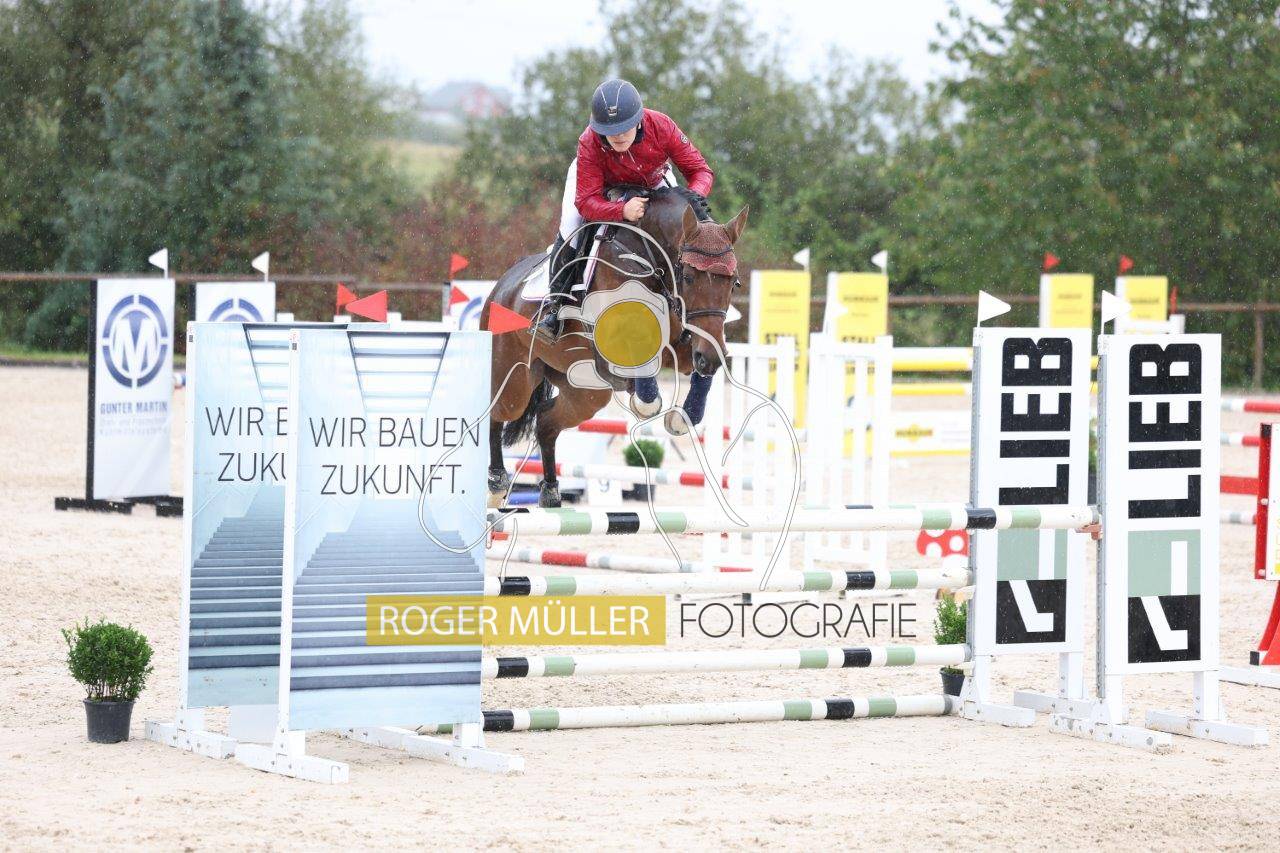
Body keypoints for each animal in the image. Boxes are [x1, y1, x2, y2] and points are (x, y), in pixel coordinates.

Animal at [480, 186, 748, 507]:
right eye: (688, 276)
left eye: (733, 282)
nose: (708, 359)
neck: (649, 261)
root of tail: (500, 287)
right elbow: (645, 383)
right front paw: (644, 403)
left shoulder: (688, 346)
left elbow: (695, 369)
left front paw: (682, 418)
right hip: (514, 379)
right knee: (498, 412)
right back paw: (496, 483)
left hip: (585, 393)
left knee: (545, 422)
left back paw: (551, 493)